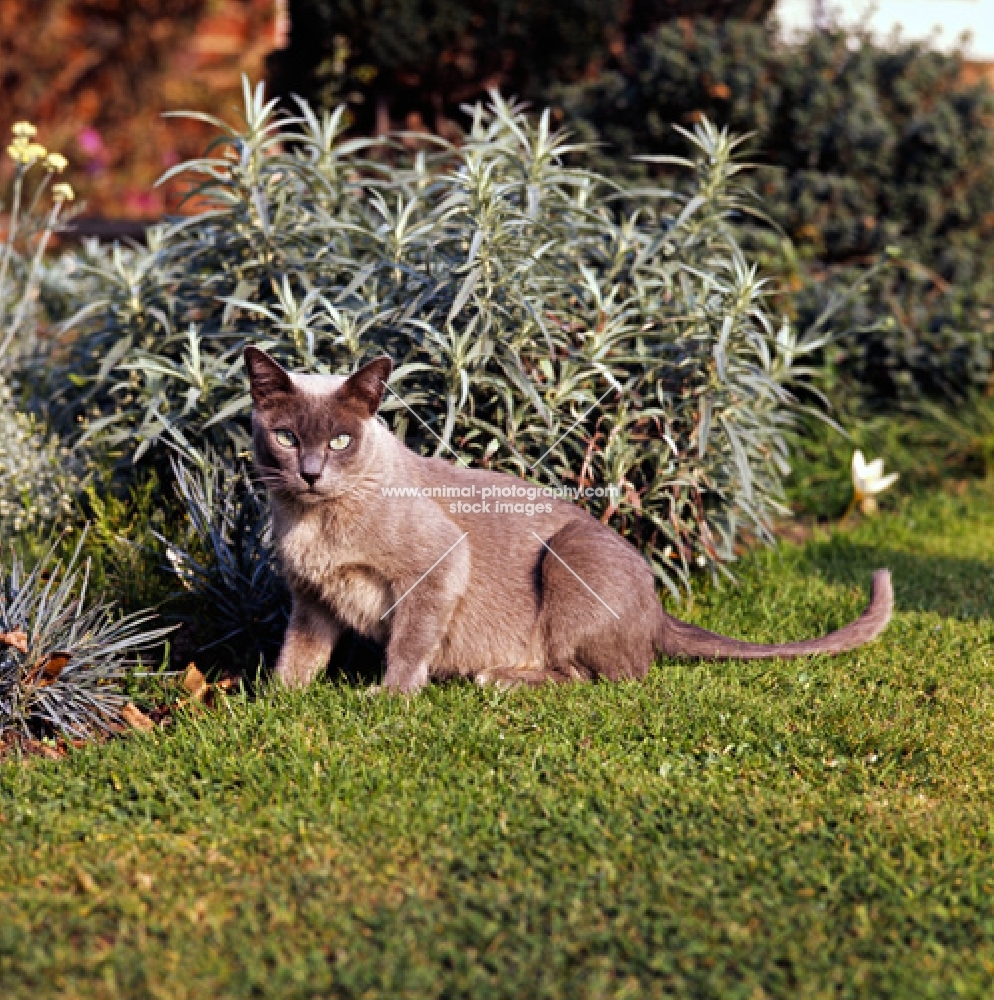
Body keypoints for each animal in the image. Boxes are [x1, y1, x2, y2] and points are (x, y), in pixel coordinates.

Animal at [244, 348, 896, 692]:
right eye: (286, 437)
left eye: (340, 441)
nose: (309, 473)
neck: (312, 522)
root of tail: (658, 607)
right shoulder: (311, 598)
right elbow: (298, 655)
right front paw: (278, 701)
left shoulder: (437, 565)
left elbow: (409, 642)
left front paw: (388, 699)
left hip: (567, 556)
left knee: (605, 676)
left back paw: (497, 678)